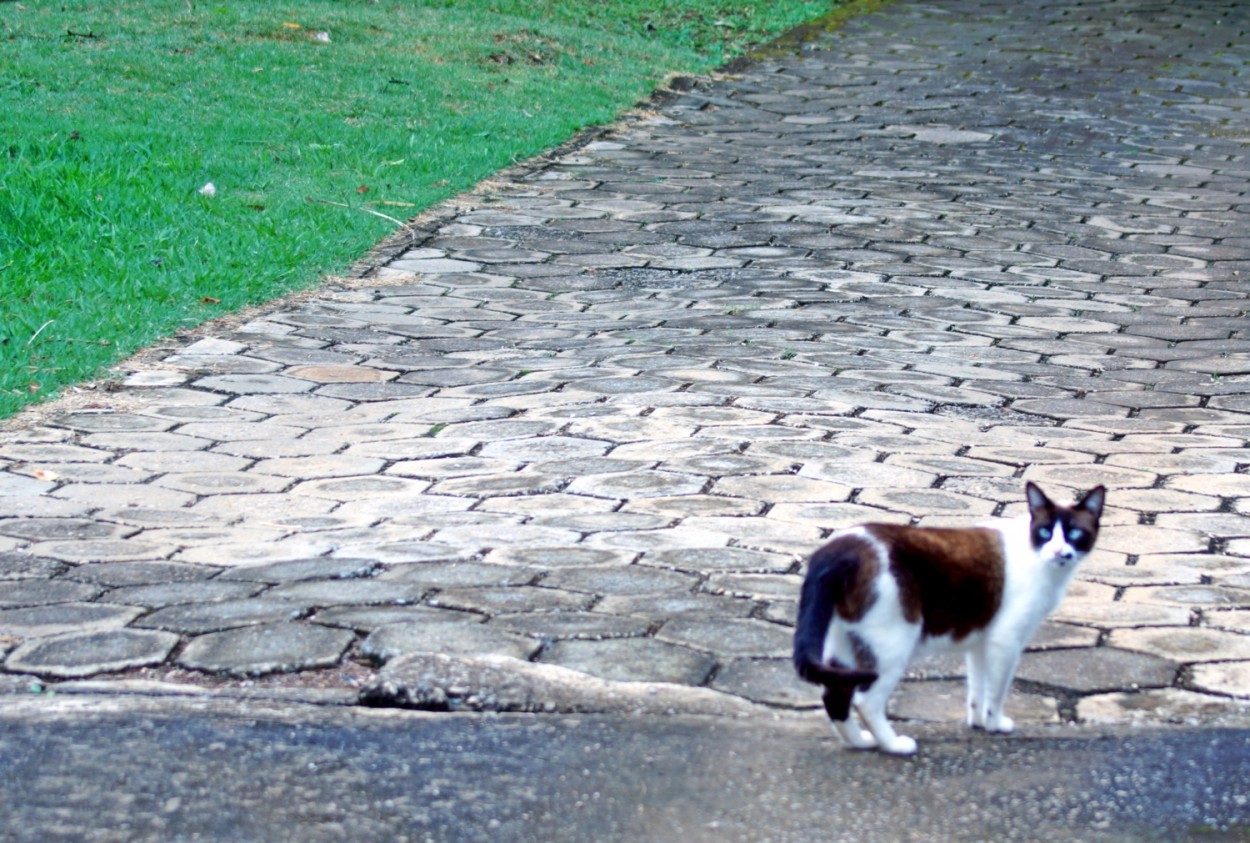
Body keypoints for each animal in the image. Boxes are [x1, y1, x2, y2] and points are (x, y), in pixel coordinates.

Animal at [790, 480, 1105, 755]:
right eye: (1045, 532)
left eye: (1074, 534)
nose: (1059, 551)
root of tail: (835, 551)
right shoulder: (1006, 643)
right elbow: (997, 692)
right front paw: (995, 724)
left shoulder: (981, 644)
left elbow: (978, 688)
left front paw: (978, 723)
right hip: (892, 644)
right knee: (865, 700)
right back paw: (895, 746)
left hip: (844, 642)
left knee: (835, 694)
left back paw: (859, 742)